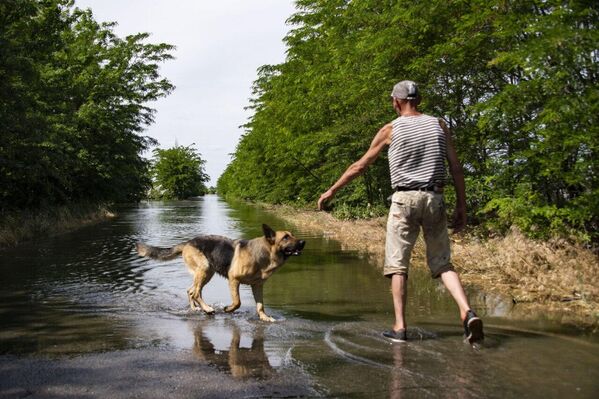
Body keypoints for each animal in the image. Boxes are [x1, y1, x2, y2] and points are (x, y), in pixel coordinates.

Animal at [136, 225, 304, 322]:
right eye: (286, 237)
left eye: (292, 235)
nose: (303, 242)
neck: (263, 255)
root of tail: (188, 242)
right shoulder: (233, 280)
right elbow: (237, 302)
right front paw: (228, 309)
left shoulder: (257, 286)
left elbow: (260, 305)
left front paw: (264, 317)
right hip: (204, 270)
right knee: (195, 292)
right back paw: (208, 309)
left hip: (206, 273)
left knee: (191, 291)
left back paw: (196, 309)